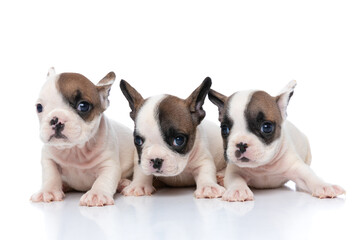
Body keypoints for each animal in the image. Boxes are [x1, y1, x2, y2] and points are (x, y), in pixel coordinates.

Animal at [30, 67, 135, 206]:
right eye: (39, 107)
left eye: (83, 106)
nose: (55, 120)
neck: (75, 150)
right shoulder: (49, 159)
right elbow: (51, 175)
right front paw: (48, 191)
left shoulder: (109, 163)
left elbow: (104, 179)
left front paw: (96, 194)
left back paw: (123, 183)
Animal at [208, 81, 346, 202]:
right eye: (224, 129)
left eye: (266, 127)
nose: (241, 144)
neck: (263, 167)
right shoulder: (235, 169)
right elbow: (234, 179)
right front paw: (238, 190)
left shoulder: (297, 167)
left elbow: (310, 176)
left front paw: (325, 186)